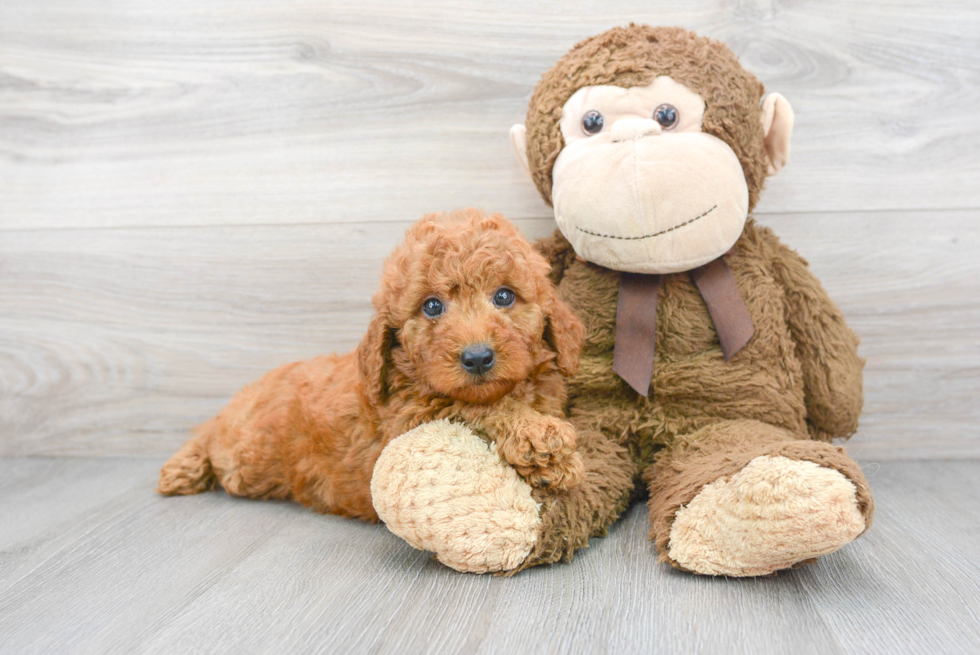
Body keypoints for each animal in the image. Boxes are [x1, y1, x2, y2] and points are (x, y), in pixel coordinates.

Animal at [158, 208, 584, 520]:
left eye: (504, 296)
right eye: (432, 306)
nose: (477, 357)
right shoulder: (413, 419)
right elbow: (476, 406)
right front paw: (541, 441)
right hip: (244, 455)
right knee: (210, 435)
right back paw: (183, 467)